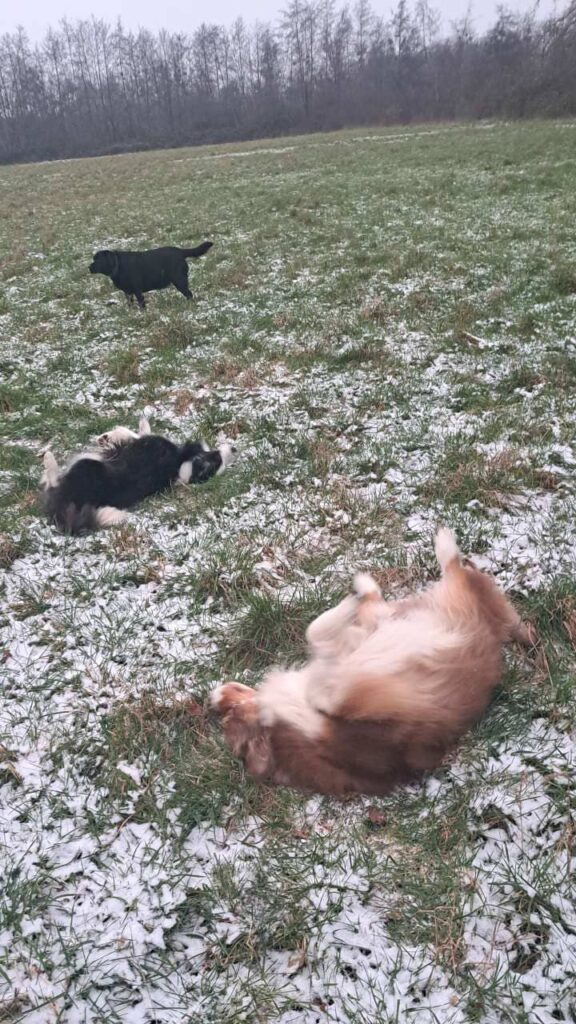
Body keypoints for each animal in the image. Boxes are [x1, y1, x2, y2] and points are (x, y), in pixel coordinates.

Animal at [41, 417, 235, 536]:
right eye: (217, 460)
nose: (234, 449)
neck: (180, 462)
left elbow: (132, 434)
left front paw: (108, 437)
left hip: (85, 466)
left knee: (52, 481)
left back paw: (48, 459)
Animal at [210, 532, 528, 794]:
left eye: (232, 704)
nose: (216, 697)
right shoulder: (365, 704)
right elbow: (320, 659)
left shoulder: (359, 642)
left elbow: (322, 633)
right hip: (476, 599)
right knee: (458, 571)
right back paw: (444, 544)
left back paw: (371, 580)